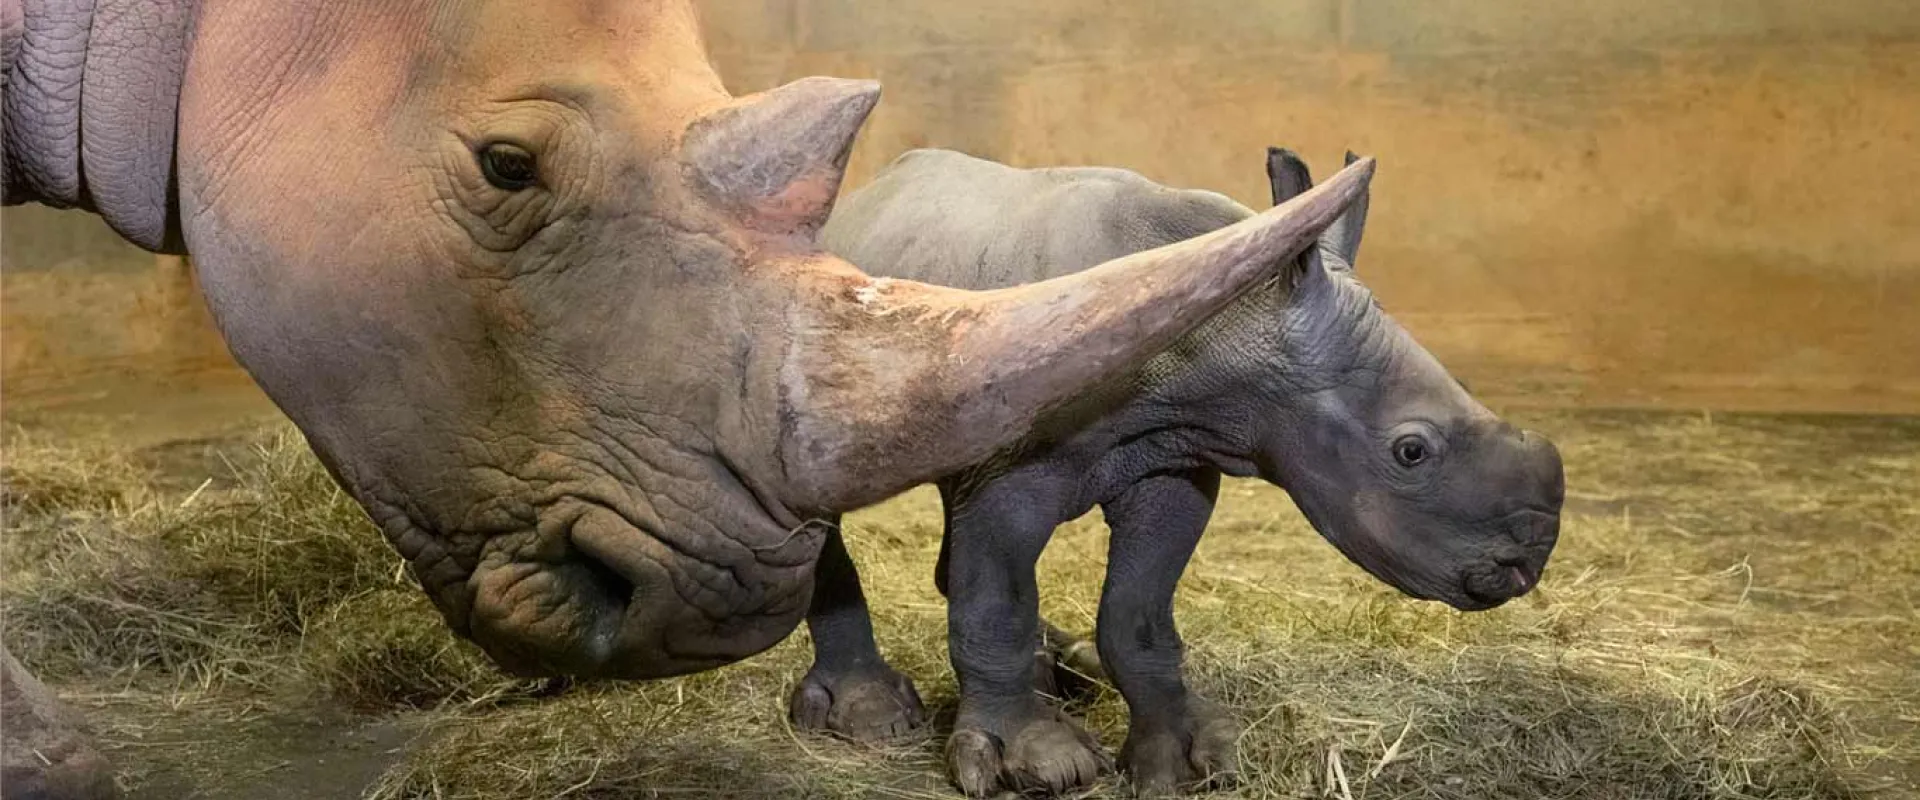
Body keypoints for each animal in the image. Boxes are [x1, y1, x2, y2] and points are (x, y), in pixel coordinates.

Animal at [787, 147, 1566, 790]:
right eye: (1411, 451)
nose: (1525, 562)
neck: (1237, 326)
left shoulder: (1172, 463)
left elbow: (1137, 614)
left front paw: (1189, 760)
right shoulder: (1010, 470)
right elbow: (998, 602)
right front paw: (1036, 762)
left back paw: (1062, 674)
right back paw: (875, 717)